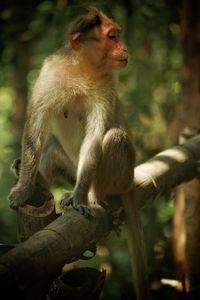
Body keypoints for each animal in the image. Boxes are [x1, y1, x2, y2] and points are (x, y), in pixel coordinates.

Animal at [8, 7, 148, 300]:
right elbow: (36, 131)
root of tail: (130, 182)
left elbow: (95, 137)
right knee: (51, 146)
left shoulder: (107, 83)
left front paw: (81, 199)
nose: (125, 48)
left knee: (114, 138)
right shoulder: (49, 73)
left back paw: (94, 196)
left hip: (121, 176)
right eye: (112, 36)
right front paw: (23, 190)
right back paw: (39, 182)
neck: (82, 69)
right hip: (71, 168)